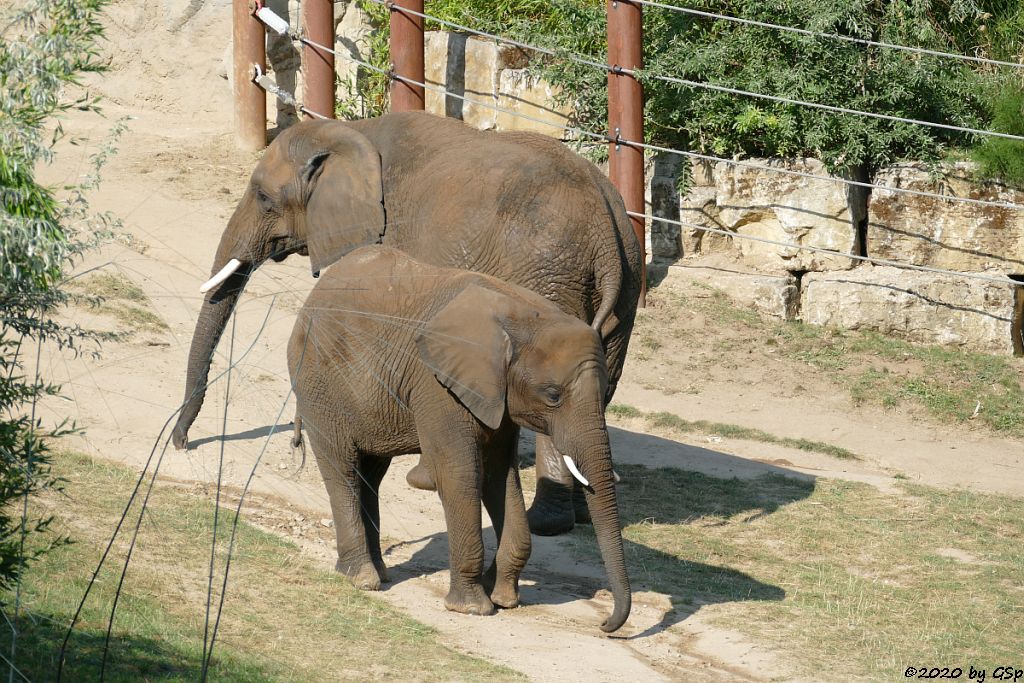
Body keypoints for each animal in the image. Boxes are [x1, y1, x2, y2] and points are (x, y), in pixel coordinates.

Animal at [173, 108, 643, 532]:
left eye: (265, 199)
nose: (182, 443)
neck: (349, 132)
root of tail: (605, 229)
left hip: (548, 280)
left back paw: (547, 521)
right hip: (625, 291)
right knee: (598, 388)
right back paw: (582, 514)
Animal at [284, 244, 626, 630]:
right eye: (553, 395)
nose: (606, 625)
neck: (523, 314)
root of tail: (311, 298)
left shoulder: (496, 396)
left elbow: (499, 477)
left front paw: (503, 598)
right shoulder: (437, 386)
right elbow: (461, 475)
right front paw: (473, 607)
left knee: (370, 473)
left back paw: (376, 573)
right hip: (318, 382)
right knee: (343, 468)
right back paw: (362, 578)